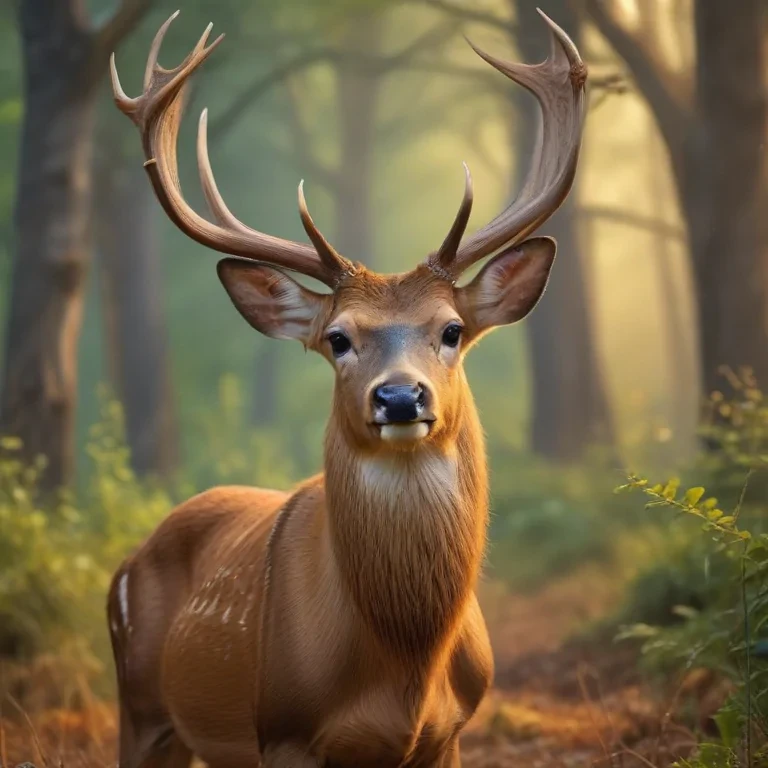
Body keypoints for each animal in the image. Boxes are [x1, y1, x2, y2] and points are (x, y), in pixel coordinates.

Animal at [106, 9, 586, 768]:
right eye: (337, 338)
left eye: (452, 330)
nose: (400, 397)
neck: (404, 666)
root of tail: (128, 560)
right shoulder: (286, 734)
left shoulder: (450, 734)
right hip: (140, 704)